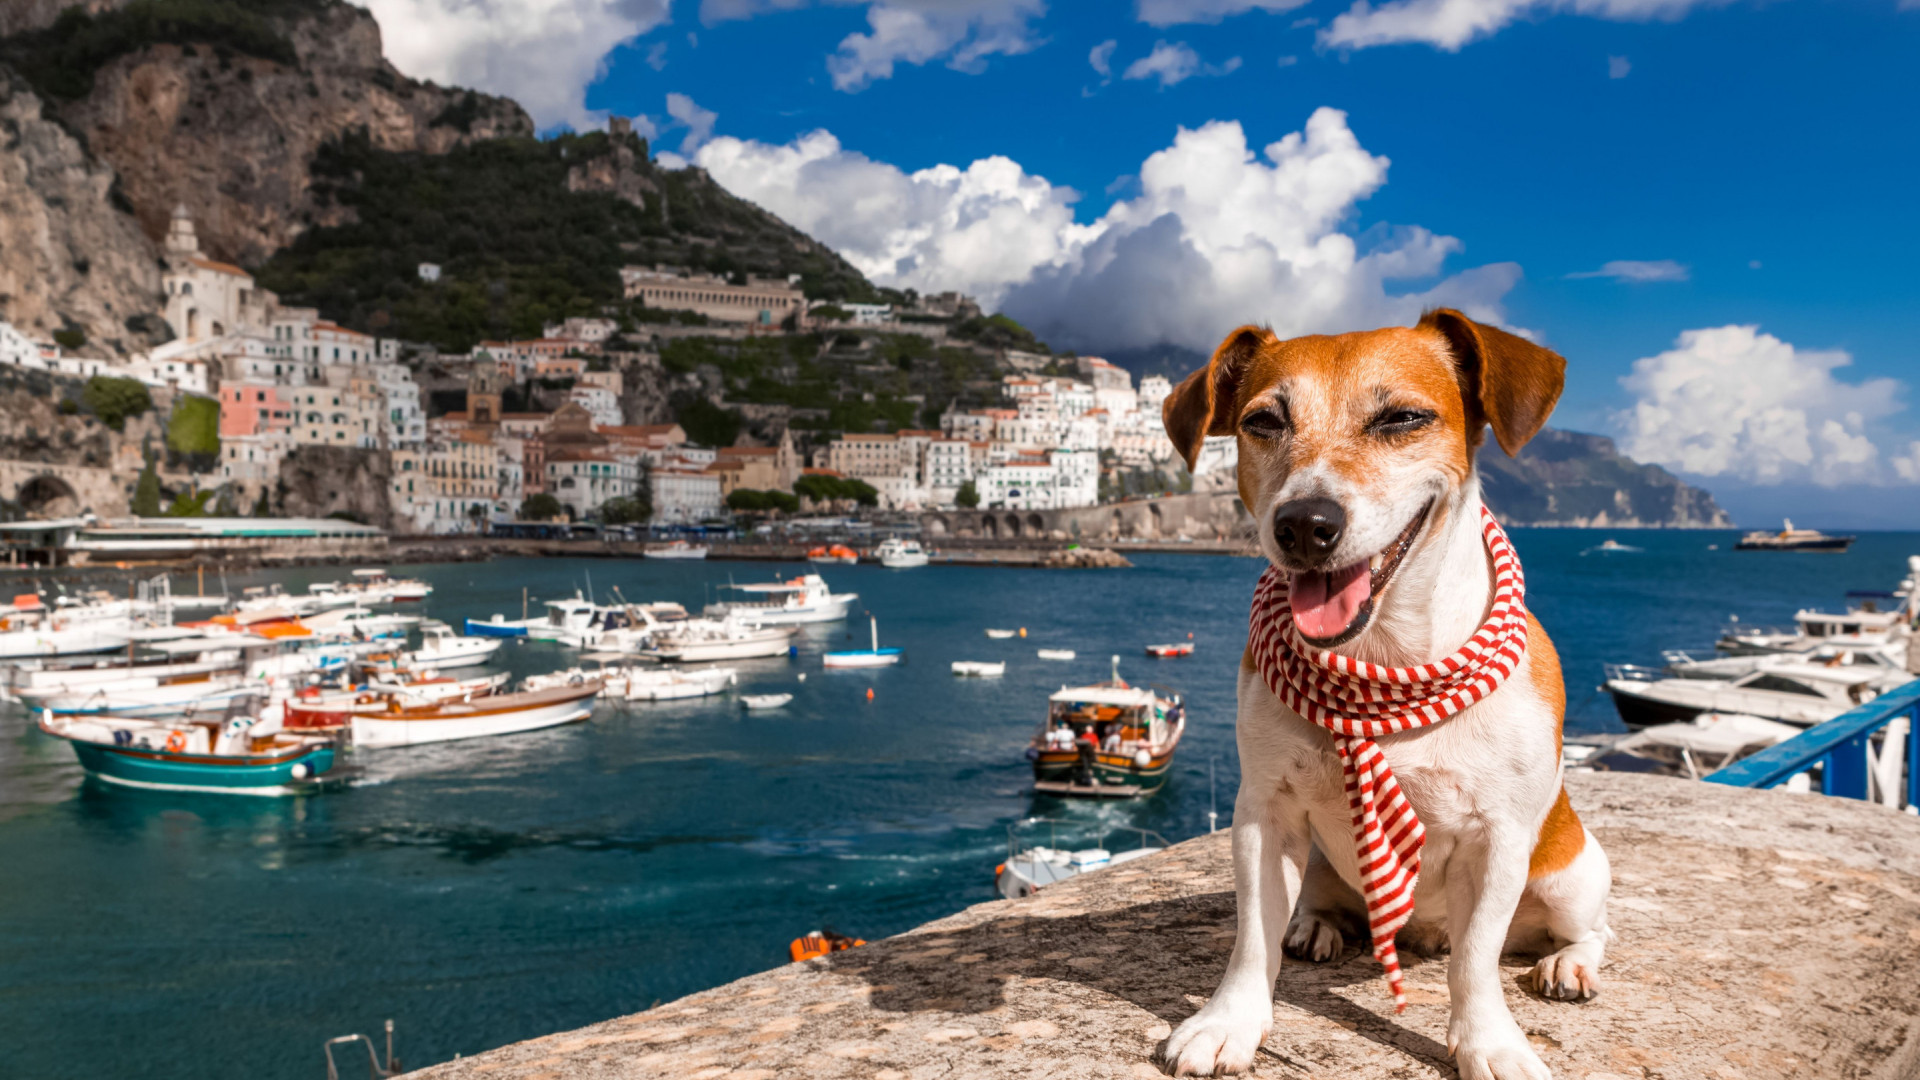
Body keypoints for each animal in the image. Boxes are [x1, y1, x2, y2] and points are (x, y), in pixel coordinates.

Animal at [1159, 307, 1612, 1068]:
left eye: (1402, 417)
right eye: (1263, 421)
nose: (1304, 524)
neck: (1380, 660)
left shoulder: (1498, 840)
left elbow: (1475, 961)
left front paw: (1488, 1043)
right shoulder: (1263, 814)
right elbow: (1251, 938)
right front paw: (1229, 1021)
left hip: (1570, 874)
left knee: (1586, 929)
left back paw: (1567, 964)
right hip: (1318, 857)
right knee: (1317, 902)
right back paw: (1315, 925)